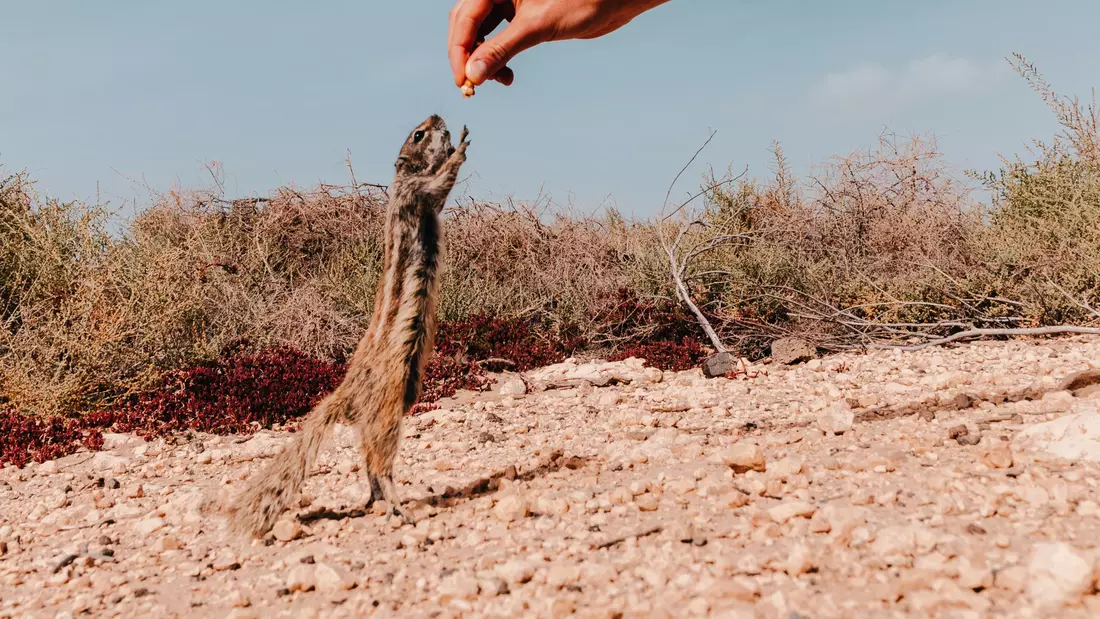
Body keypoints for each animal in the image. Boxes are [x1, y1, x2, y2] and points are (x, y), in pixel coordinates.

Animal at [225, 114, 470, 538]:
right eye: (419, 134)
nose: (438, 116)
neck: (402, 179)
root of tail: (346, 393)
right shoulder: (418, 192)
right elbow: (442, 182)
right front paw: (462, 147)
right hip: (387, 411)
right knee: (380, 462)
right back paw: (398, 506)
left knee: (368, 461)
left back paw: (377, 500)